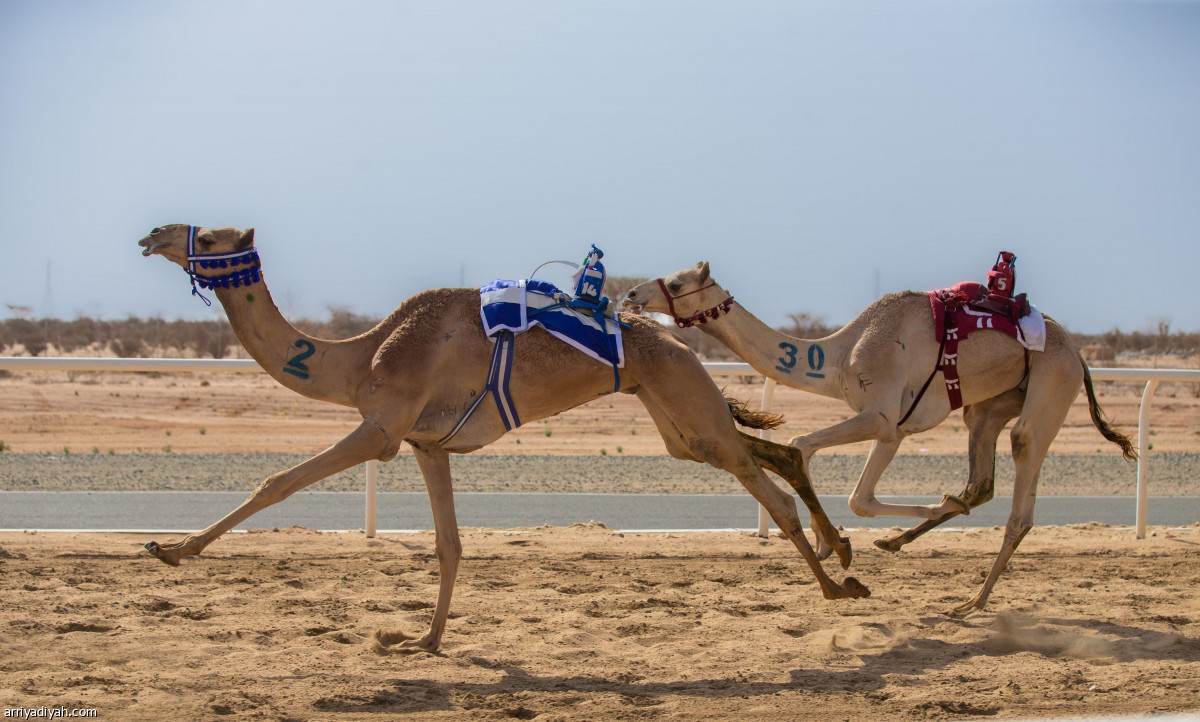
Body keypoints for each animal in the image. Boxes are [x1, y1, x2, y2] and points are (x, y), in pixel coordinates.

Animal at [136, 225, 868, 652]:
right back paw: (843, 556)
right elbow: (450, 545)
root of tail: (672, 339)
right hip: (676, 418)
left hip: (686, 392)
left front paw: (170, 550)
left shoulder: (383, 427)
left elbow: (277, 480)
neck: (363, 358)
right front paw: (426, 639)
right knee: (767, 453)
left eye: (214, 236)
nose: (153, 233)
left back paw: (838, 587)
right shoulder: (427, 445)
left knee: (769, 489)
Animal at [624, 261, 1137, 614]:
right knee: (981, 478)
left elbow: (804, 446)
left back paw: (972, 601)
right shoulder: (897, 427)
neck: (836, 356)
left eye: (676, 283)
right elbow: (860, 499)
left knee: (1022, 488)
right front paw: (849, 540)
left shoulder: (881, 416)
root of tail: (1079, 354)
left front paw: (835, 543)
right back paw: (911, 539)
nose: (630, 293)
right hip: (989, 406)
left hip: (1053, 384)